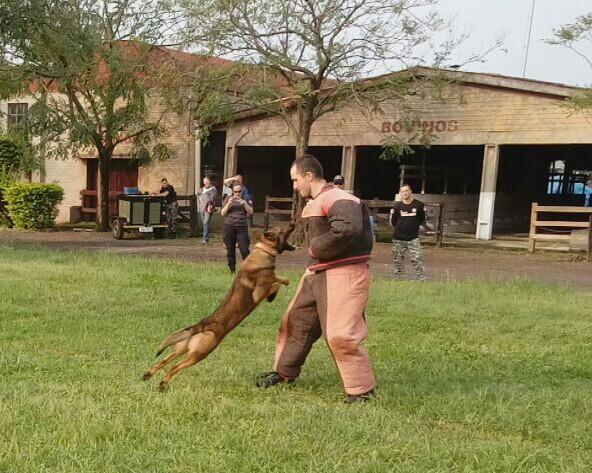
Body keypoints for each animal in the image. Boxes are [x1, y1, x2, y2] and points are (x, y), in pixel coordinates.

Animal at [141, 223, 294, 390]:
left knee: (164, 361)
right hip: (200, 353)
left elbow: (277, 280)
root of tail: (201, 326)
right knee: (174, 367)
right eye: (282, 229)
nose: (293, 223)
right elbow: (276, 283)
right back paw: (163, 383)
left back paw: (148, 375)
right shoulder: (259, 293)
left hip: (182, 348)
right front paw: (281, 286)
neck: (263, 251)